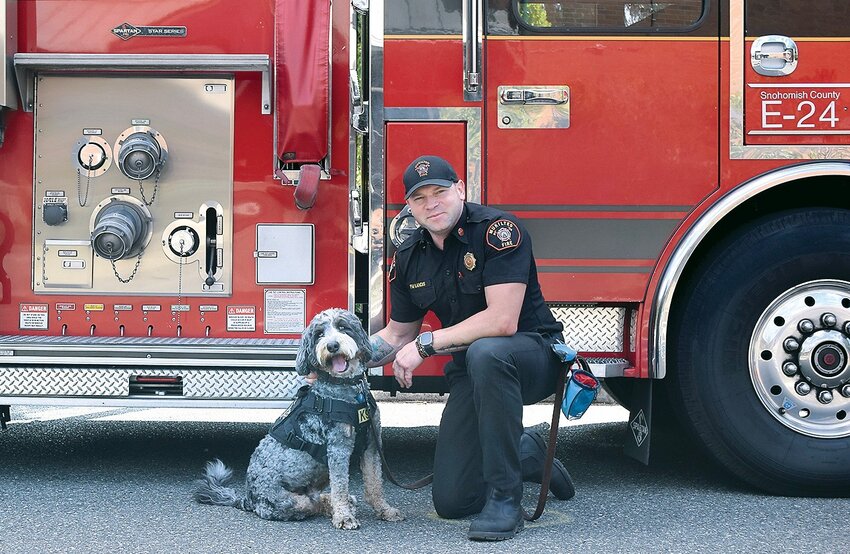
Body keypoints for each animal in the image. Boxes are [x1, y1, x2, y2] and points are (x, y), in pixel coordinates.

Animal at [193, 306, 404, 528]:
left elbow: (374, 483)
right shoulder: (338, 449)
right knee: (312, 503)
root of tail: (248, 499)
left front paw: (384, 510)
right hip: (291, 502)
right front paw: (344, 517)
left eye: (342, 327)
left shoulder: (371, 444)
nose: (332, 346)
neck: (347, 387)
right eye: (319, 334)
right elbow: (340, 487)